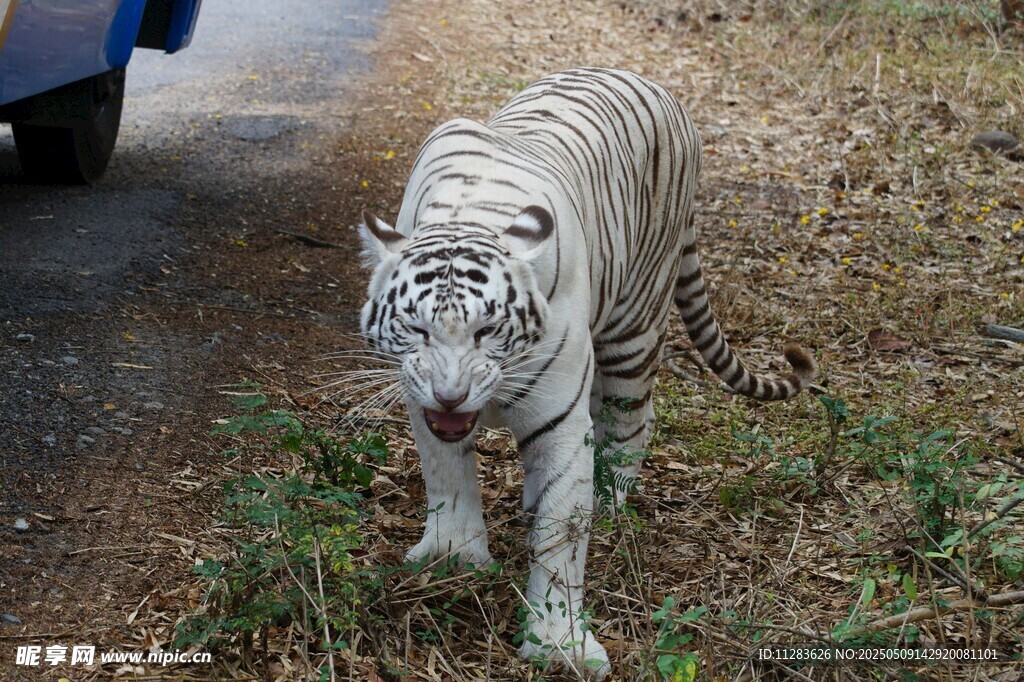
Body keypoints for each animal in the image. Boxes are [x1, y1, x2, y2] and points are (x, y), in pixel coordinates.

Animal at [357, 67, 815, 679]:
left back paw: (611, 501)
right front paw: (452, 557)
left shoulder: (560, 421)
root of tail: (651, 82)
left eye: (488, 329)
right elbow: (446, 476)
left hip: (635, 324)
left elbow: (561, 537)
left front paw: (558, 646)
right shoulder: (420, 400)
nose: (451, 395)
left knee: (632, 420)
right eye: (416, 327)